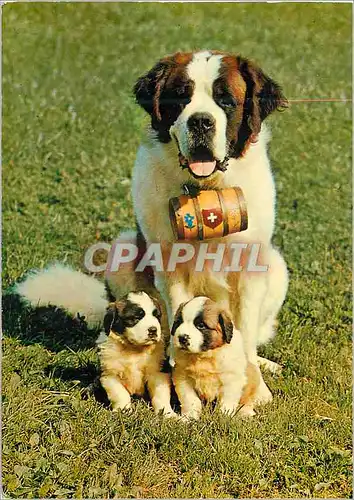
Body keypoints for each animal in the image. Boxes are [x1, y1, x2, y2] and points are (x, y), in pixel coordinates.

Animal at [129, 50, 290, 404]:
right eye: (180, 97)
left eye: (226, 100)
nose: (201, 121)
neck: (207, 189)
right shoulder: (170, 266)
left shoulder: (250, 269)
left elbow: (245, 335)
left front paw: (255, 387)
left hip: (277, 267)